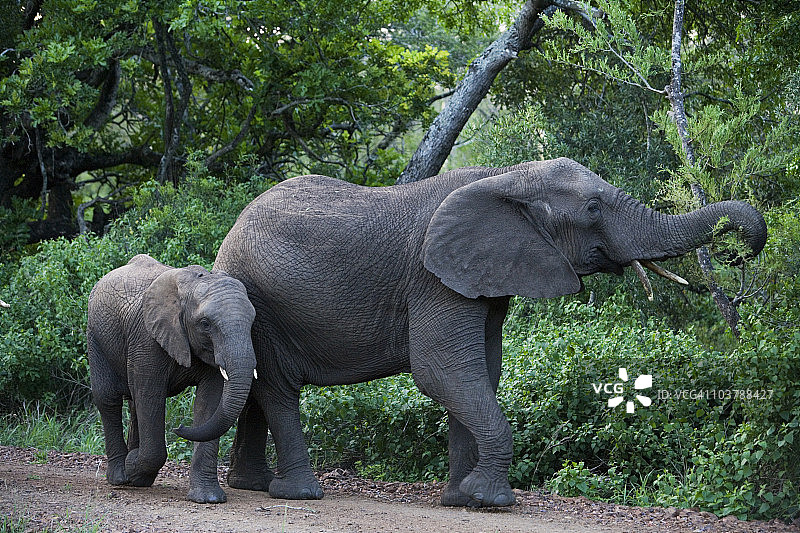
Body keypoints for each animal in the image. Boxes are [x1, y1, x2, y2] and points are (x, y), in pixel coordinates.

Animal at [87, 254, 257, 503]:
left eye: (253, 321)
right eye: (205, 323)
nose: (179, 427)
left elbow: (210, 403)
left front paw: (208, 498)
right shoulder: (147, 338)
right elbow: (150, 396)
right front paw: (131, 465)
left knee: (134, 403)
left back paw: (139, 478)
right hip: (95, 336)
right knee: (108, 399)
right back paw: (120, 476)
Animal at [212, 157, 766, 507]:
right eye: (593, 207)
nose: (742, 247)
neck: (507, 178)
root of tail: (228, 237)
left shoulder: (484, 276)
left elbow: (482, 372)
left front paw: (463, 499)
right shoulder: (434, 279)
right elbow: (444, 372)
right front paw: (491, 499)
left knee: (259, 390)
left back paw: (252, 486)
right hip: (262, 300)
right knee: (278, 389)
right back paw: (299, 494)